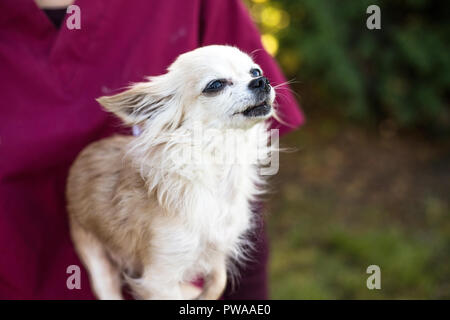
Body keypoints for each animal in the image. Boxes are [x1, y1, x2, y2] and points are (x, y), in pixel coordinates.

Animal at [66, 45, 276, 300]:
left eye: (255, 71)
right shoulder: (159, 278)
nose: (262, 81)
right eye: (215, 85)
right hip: (95, 259)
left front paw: (203, 295)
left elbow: (218, 281)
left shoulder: (216, 253)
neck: (218, 165)